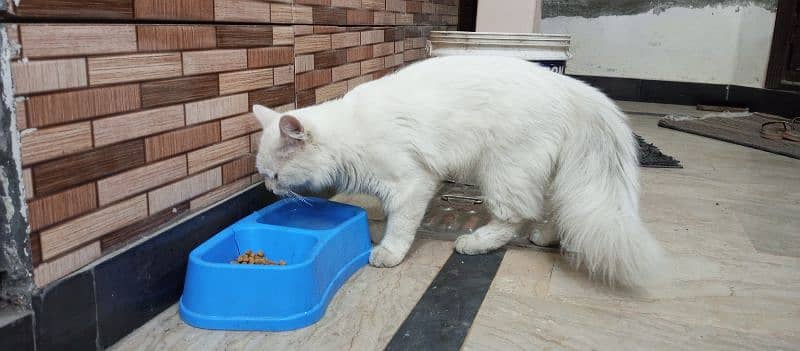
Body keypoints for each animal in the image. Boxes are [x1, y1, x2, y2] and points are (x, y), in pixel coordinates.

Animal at [252, 55, 664, 286]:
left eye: (274, 176)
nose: (269, 191)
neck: (349, 133)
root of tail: (570, 86)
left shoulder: (411, 183)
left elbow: (400, 225)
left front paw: (387, 252)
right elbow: (387, 215)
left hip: (502, 170)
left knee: (515, 216)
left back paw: (475, 242)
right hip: (534, 171)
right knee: (547, 208)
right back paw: (546, 237)